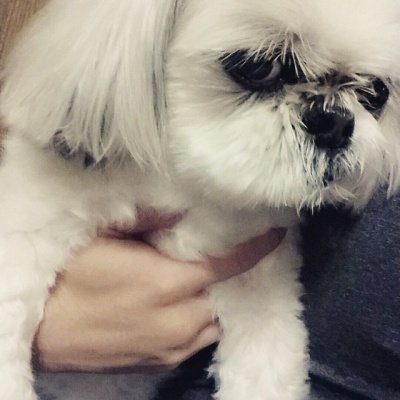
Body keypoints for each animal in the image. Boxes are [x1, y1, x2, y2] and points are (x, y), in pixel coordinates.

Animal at [1, 0, 400, 399]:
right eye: (259, 66)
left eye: (376, 92)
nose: (336, 122)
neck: (186, 187)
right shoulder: (26, 230)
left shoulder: (259, 291)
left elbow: (266, 369)